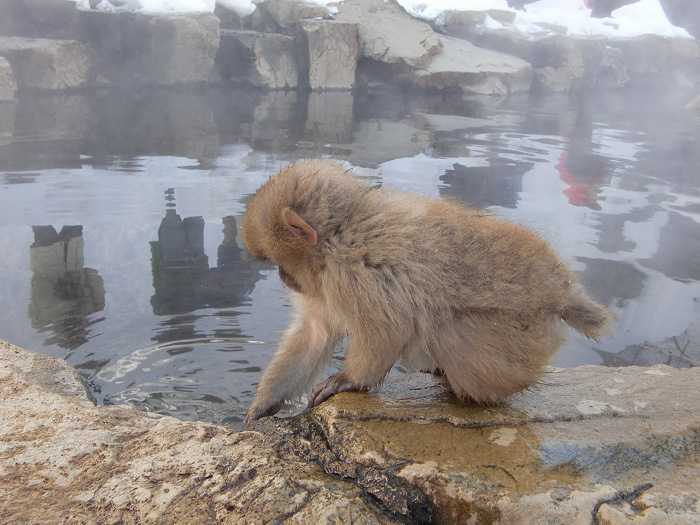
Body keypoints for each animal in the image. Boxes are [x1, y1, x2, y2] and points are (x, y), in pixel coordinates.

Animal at [241, 159, 610, 423]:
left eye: (279, 261)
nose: (284, 278)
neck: (339, 234)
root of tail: (561, 293)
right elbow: (315, 334)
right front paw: (264, 403)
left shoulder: (352, 274)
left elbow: (386, 331)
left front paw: (348, 379)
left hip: (520, 338)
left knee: (449, 333)